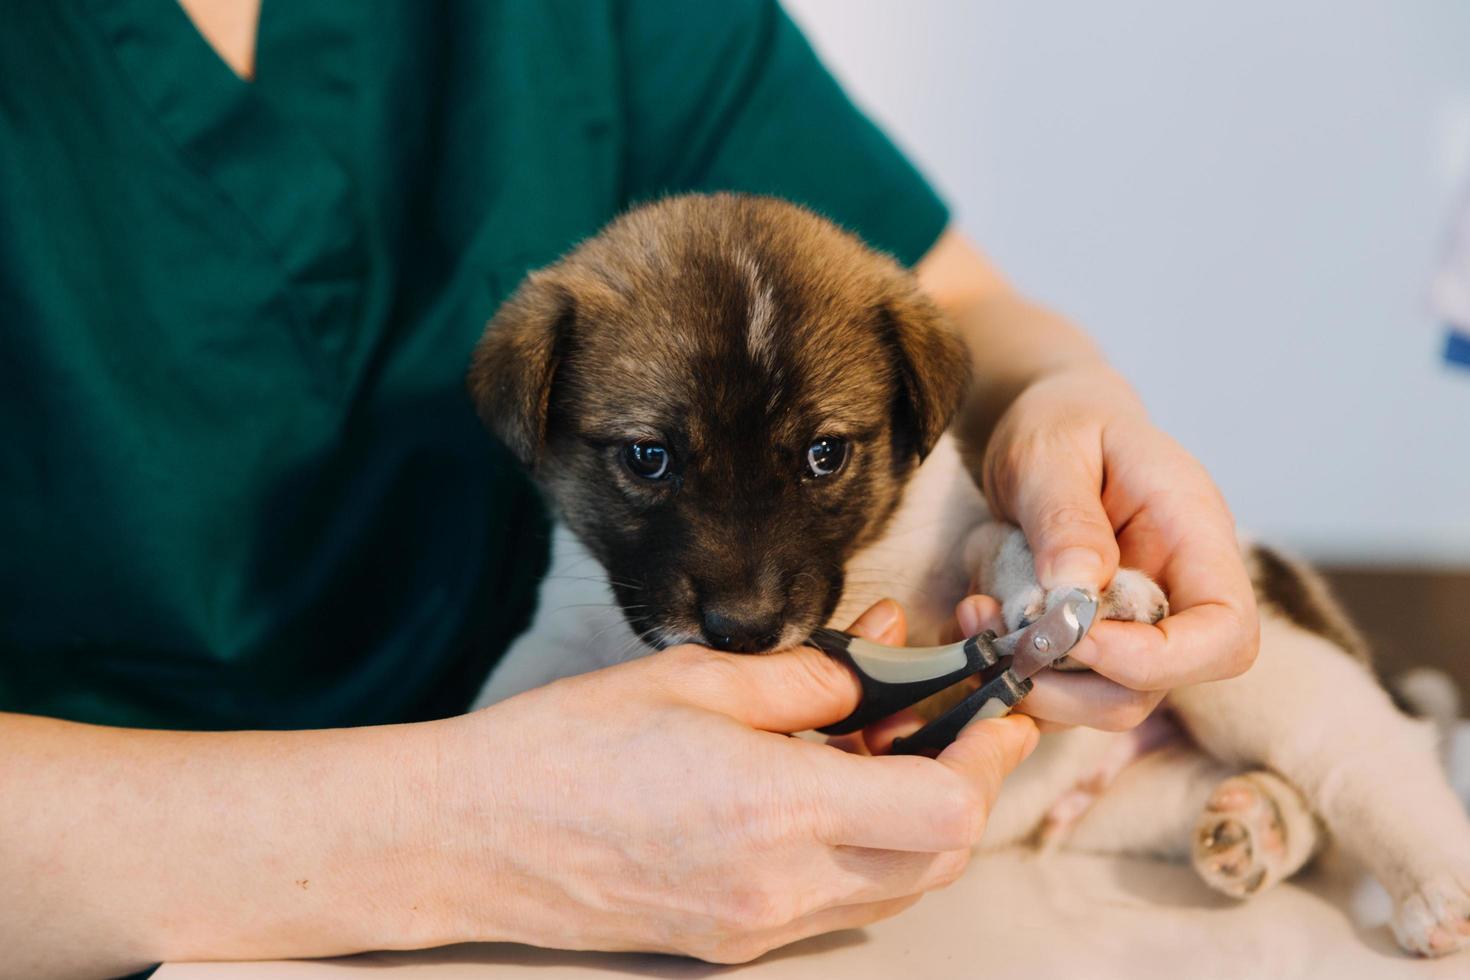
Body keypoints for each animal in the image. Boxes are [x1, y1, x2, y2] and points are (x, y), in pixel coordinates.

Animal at [467, 191, 1470, 957]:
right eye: (649, 458)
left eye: (826, 455)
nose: (743, 632)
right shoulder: (551, 648)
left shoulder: (961, 532)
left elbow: (1012, 539)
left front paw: (1077, 589)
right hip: (1125, 807)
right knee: (1300, 814)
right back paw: (1255, 826)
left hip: (1264, 679)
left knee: (1370, 760)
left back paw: (1435, 884)